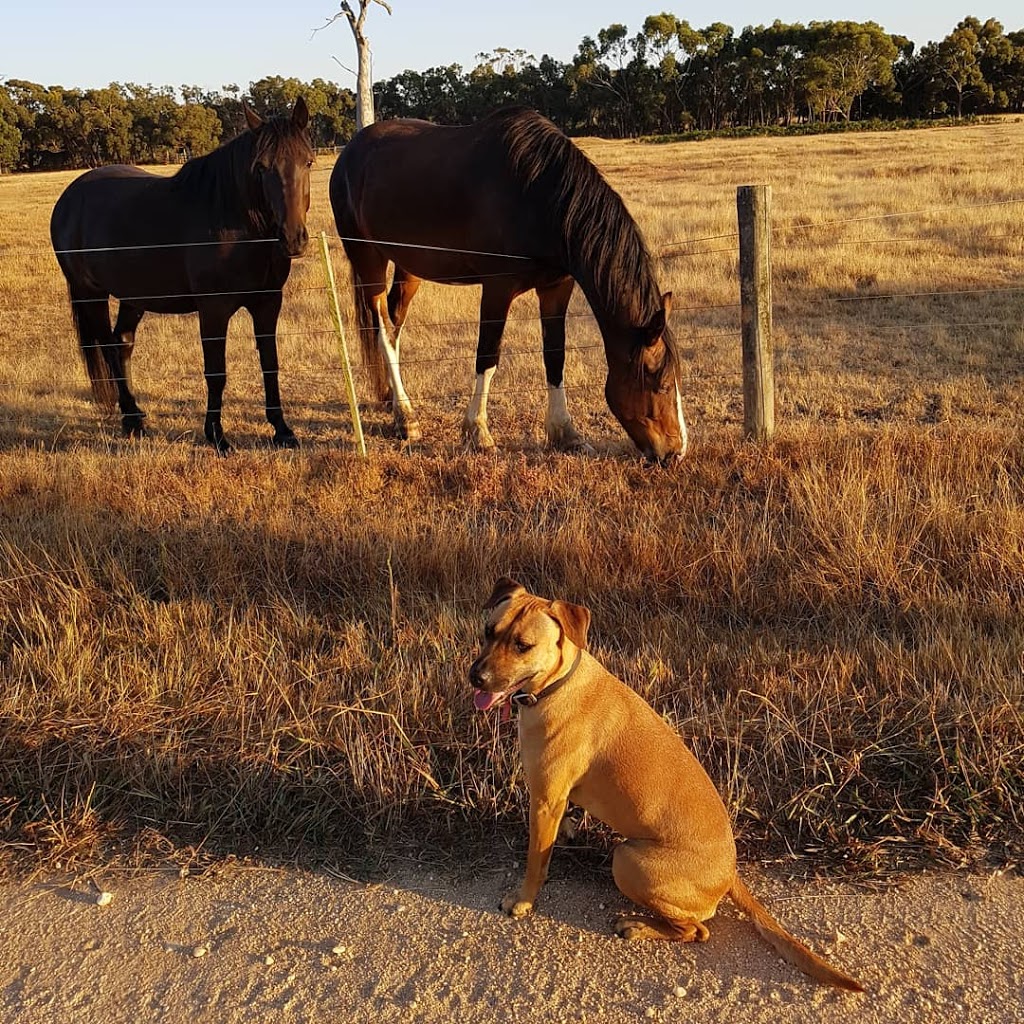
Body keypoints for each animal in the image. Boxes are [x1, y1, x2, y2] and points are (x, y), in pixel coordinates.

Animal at [49, 97, 313, 450]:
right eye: (260, 167)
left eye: (308, 162)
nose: (293, 239)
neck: (236, 225)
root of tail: (69, 198)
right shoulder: (213, 310)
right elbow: (216, 372)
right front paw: (217, 435)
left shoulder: (268, 303)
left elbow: (270, 364)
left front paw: (282, 430)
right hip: (90, 293)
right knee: (107, 348)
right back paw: (129, 417)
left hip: (134, 295)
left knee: (122, 343)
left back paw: (137, 417)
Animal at [331, 104, 688, 460]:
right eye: (662, 384)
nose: (676, 451)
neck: (538, 195)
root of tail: (349, 153)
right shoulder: (497, 289)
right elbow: (487, 356)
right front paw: (478, 431)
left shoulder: (556, 288)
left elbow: (555, 356)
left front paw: (565, 433)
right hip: (368, 260)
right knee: (381, 331)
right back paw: (406, 418)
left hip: (409, 267)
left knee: (394, 327)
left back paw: (394, 401)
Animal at [471, 585, 864, 991]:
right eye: (488, 631)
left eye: (523, 646)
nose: (476, 677)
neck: (556, 683)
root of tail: (730, 873)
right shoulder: (555, 801)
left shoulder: (545, 799)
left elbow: (535, 860)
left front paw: (524, 900)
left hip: (628, 861)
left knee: (696, 931)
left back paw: (638, 926)